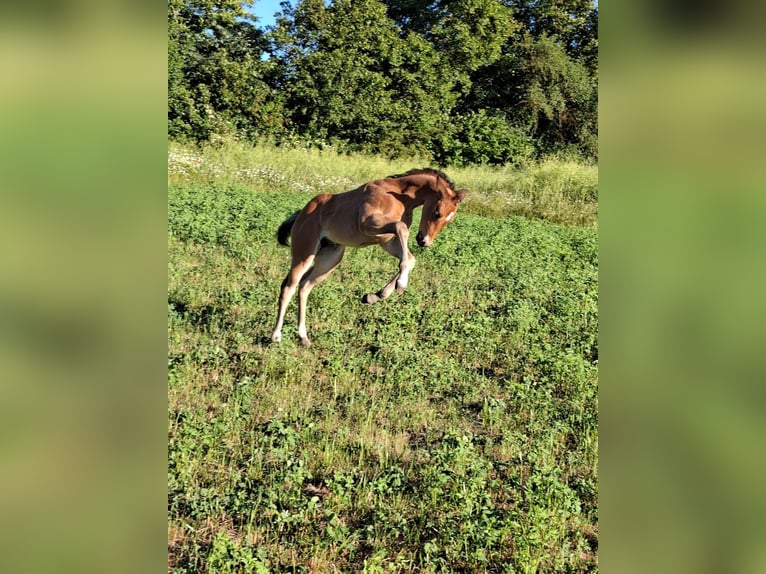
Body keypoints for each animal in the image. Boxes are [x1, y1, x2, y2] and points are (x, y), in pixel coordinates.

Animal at [270, 168, 468, 346]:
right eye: (437, 212)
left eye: (450, 219)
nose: (424, 241)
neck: (398, 196)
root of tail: (301, 214)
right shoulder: (368, 223)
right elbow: (402, 228)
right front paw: (400, 285)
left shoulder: (387, 241)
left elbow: (410, 259)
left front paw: (375, 295)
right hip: (304, 253)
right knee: (289, 287)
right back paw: (276, 336)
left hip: (329, 260)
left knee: (304, 287)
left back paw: (303, 337)